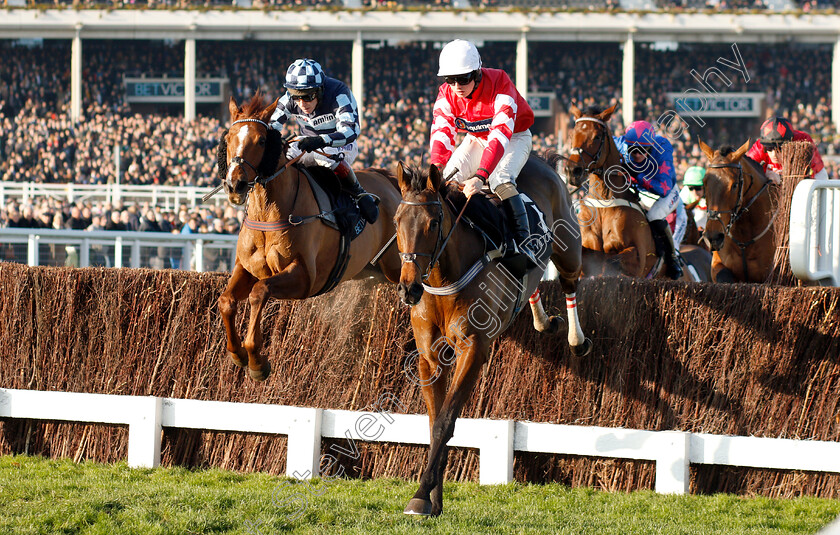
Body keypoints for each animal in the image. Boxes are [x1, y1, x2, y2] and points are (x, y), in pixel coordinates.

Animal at [217, 94, 400, 384]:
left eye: (261, 141)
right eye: (228, 138)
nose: (235, 185)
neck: (268, 212)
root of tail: (388, 179)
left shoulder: (305, 277)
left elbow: (260, 292)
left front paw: (257, 361)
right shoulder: (246, 268)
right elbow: (226, 301)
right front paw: (237, 354)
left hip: (397, 265)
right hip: (373, 271)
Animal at [394, 161, 592, 516]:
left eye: (433, 223)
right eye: (396, 221)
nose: (408, 289)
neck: (445, 279)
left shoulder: (474, 348)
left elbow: (445, 421)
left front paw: (421, 494)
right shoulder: (429, 358)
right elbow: (433, 422)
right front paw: (432, 499)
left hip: (569, 246)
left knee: (570, 282)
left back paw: (576, 339)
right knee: (533, 282)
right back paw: (543, 321)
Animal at [564, 102, 708, 282]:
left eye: (596, 137)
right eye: (572, 135)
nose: (572, 171)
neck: (605, 203)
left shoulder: (637, 259)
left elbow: (612, 259)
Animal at [700, 139, 776, 284]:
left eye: (734, 185)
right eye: (704, 182)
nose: (713, 238)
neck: (744, 238)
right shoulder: (718, 265)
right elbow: (724, 276)